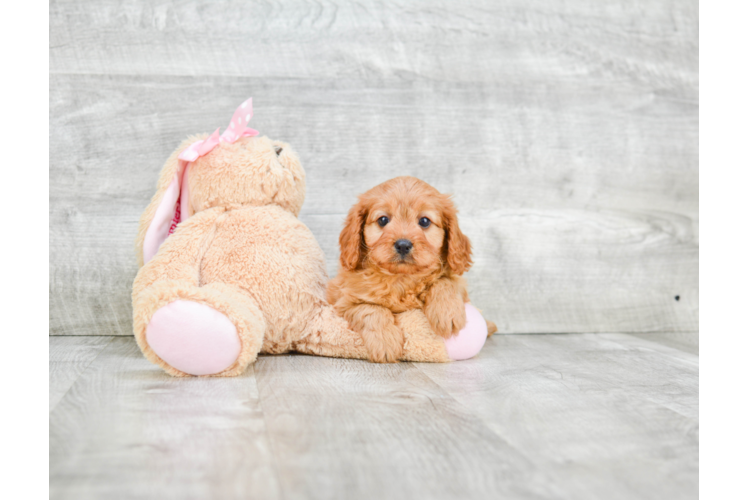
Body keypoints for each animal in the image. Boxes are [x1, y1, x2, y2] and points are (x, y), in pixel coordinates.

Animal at [328, 177, 496, 364]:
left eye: (424, 221)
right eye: (383, 220)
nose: (403, 244)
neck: (401, 279)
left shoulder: (459, 283)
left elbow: (446, 280)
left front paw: (447, 313)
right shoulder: (343, 298)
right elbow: (370, 309)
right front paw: (385, 341)